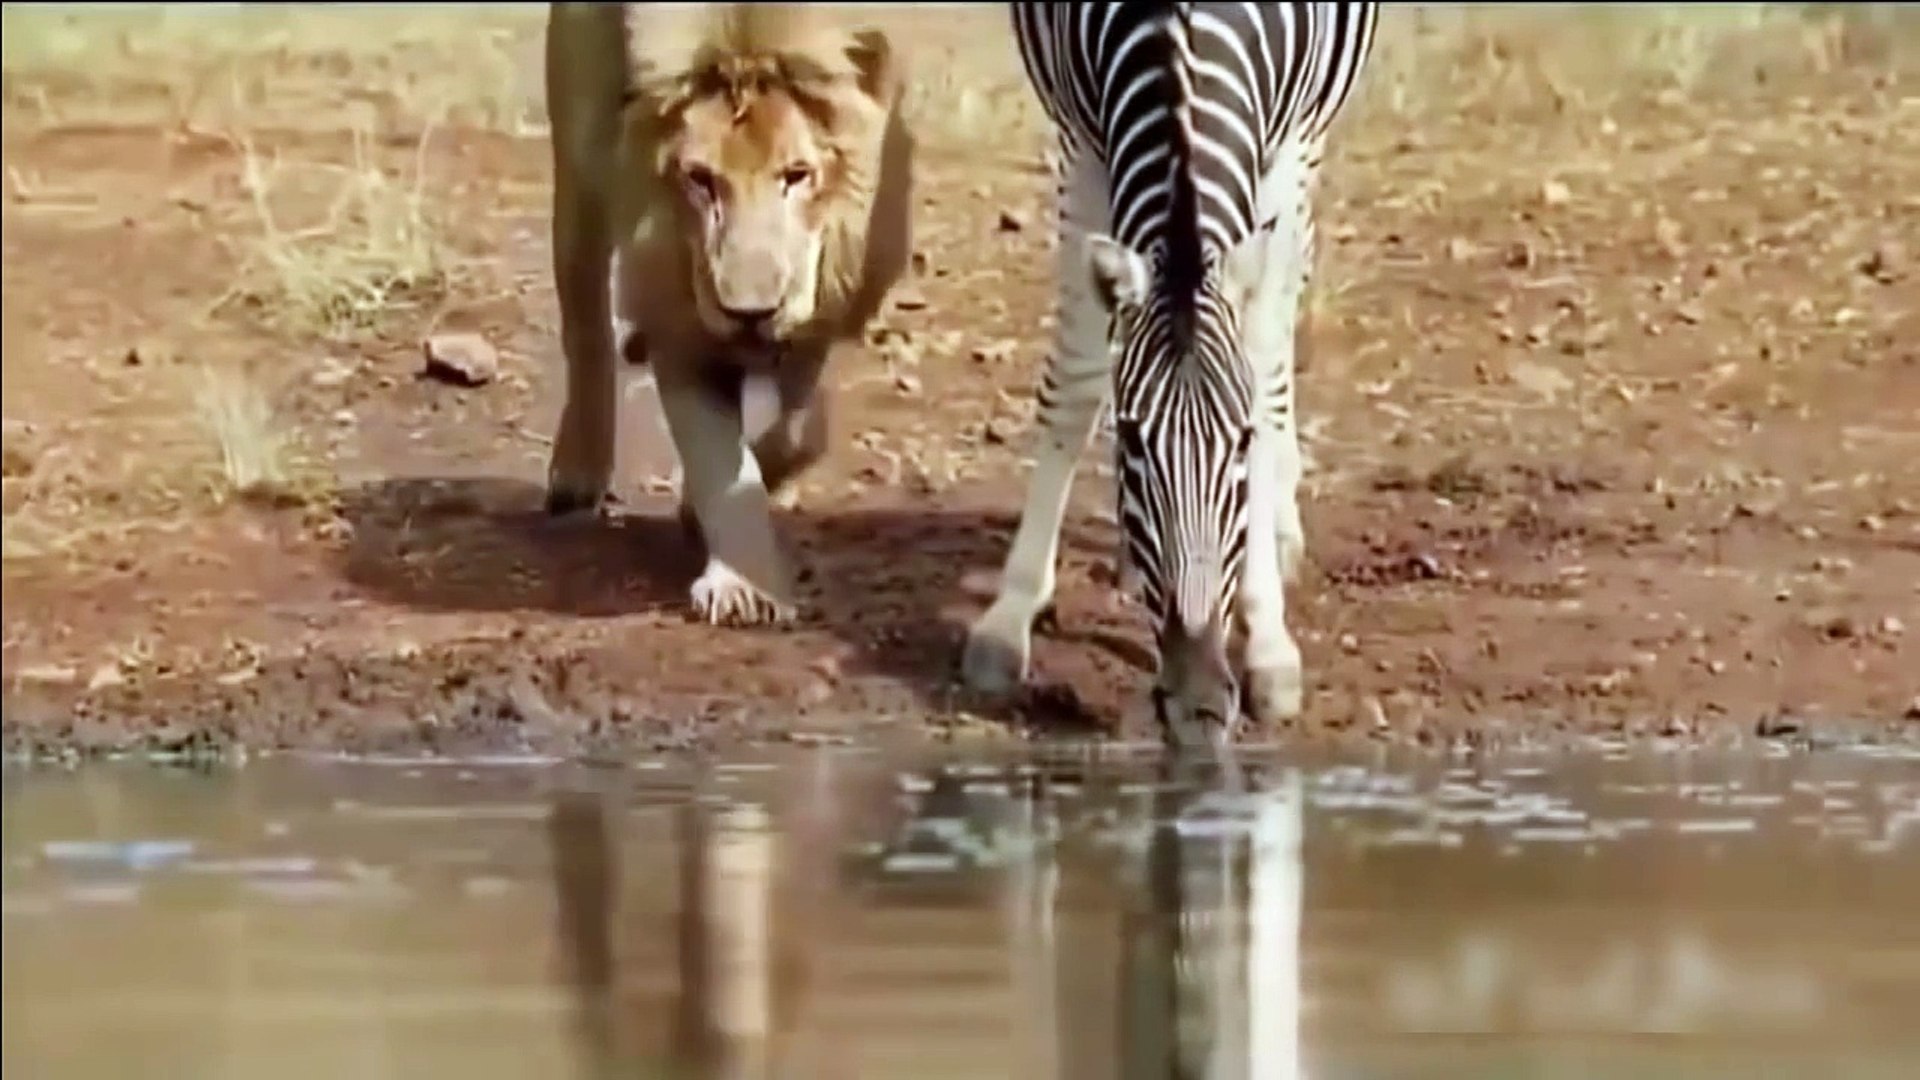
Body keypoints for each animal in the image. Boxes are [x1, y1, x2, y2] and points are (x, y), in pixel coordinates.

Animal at [541, 4, 913, 622]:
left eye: (796, 175)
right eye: (700, 180)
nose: (749, 313)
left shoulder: (816, 320)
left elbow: (800, 431)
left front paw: (707, 512)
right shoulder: (681, 325)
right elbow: (717, 455)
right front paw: (742, 584)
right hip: (578, 164)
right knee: (585, 325)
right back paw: (576, 472)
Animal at [967, 4, 1374, 749]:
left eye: (1241, 442)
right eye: (1130, 441)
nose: (1199, 706)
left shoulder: (1288, 143)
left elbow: (1263, 367)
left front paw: (1267, 637)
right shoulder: (1081, 140)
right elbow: (1076, 381)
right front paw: (1010, 615)